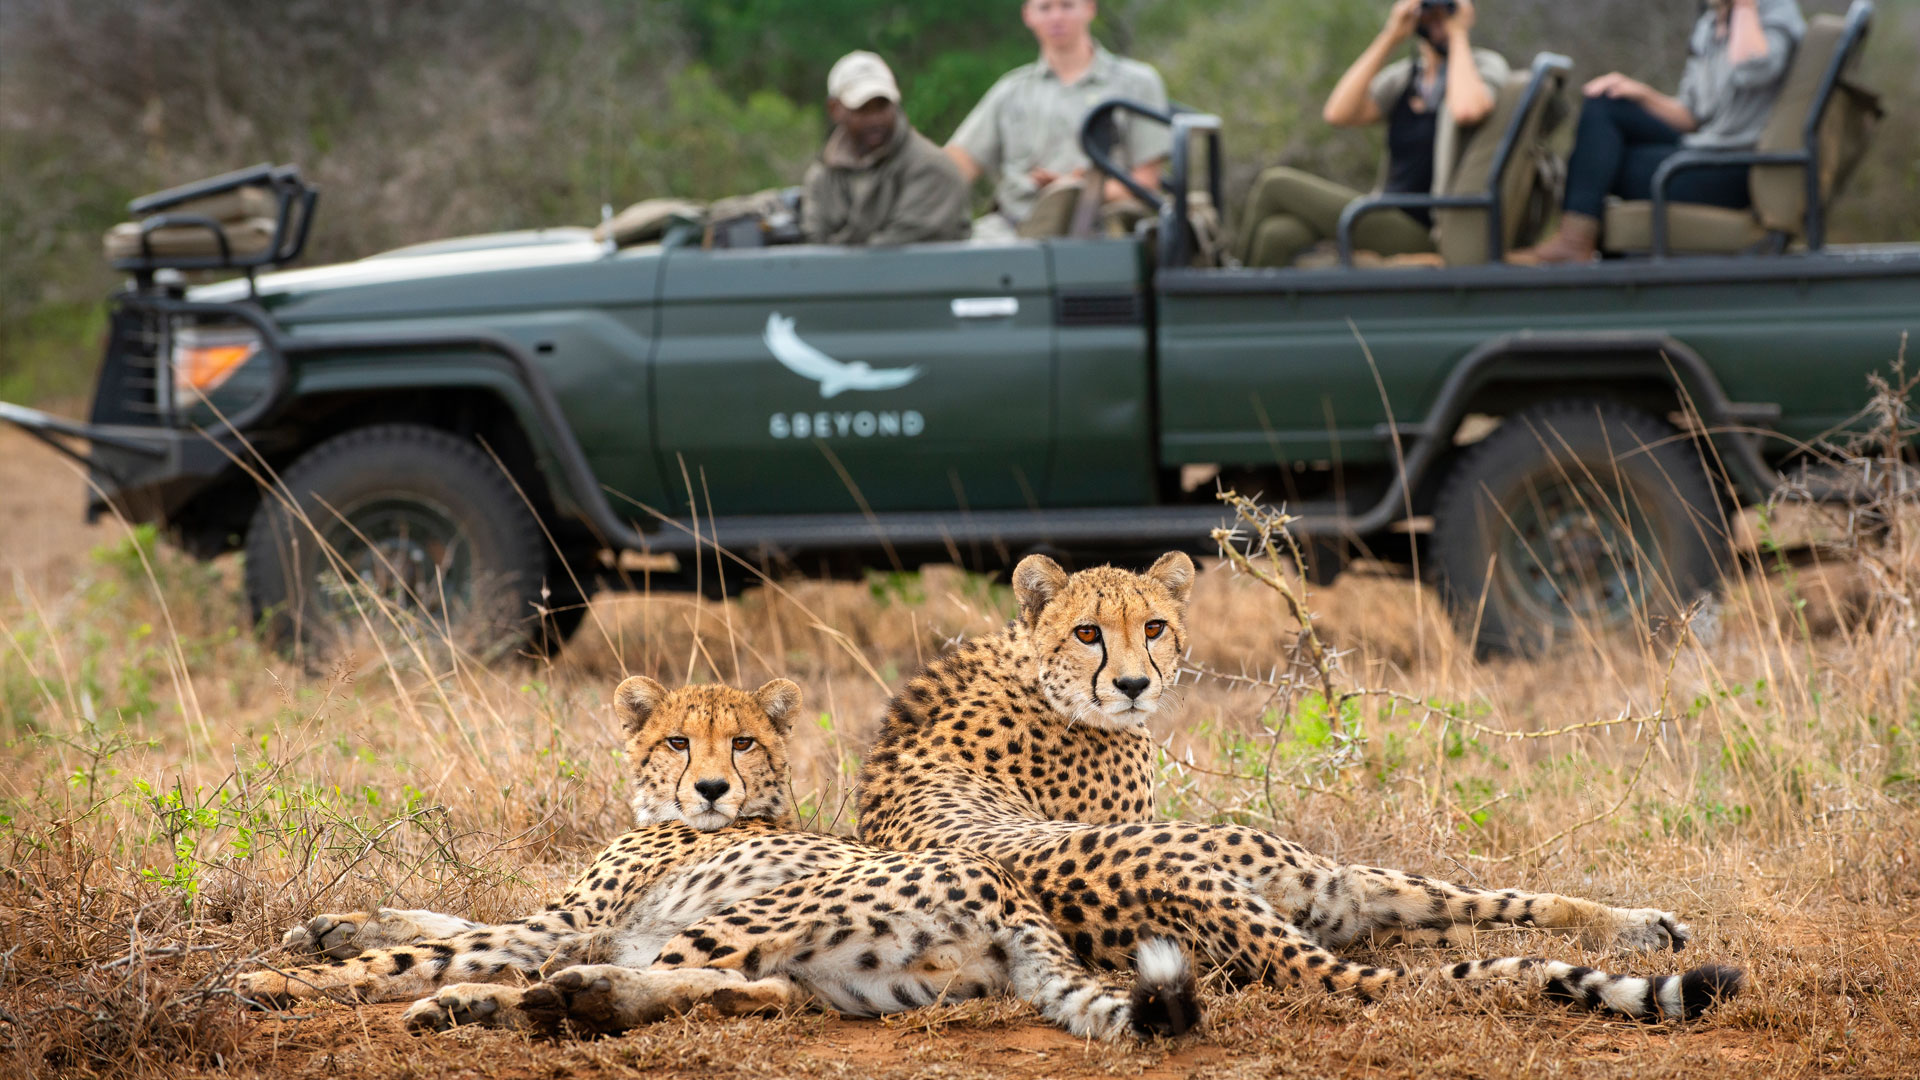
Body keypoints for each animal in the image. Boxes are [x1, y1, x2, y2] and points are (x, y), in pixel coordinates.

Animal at [236, 672, 1198, 1037]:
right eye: (675, 741)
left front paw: (276, 980)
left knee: (685, 975)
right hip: (864, 980)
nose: (707, 790)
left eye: (740, 744)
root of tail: (1015, 900)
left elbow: (428, 949)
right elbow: (441, 917)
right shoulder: (563, 918)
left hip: (758, 909)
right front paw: (326, 928)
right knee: (769, 993)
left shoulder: (564, 921)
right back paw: (569, 996)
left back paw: (501, 1002)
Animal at [852, 553, 1743, 1014]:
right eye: (1087, 633)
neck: (1031, 669)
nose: (1135, 685)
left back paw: (1638, 929)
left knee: (1477, 918)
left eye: (1154, 626)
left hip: (1324, 899)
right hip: (1318, 879)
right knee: (1469, 919)